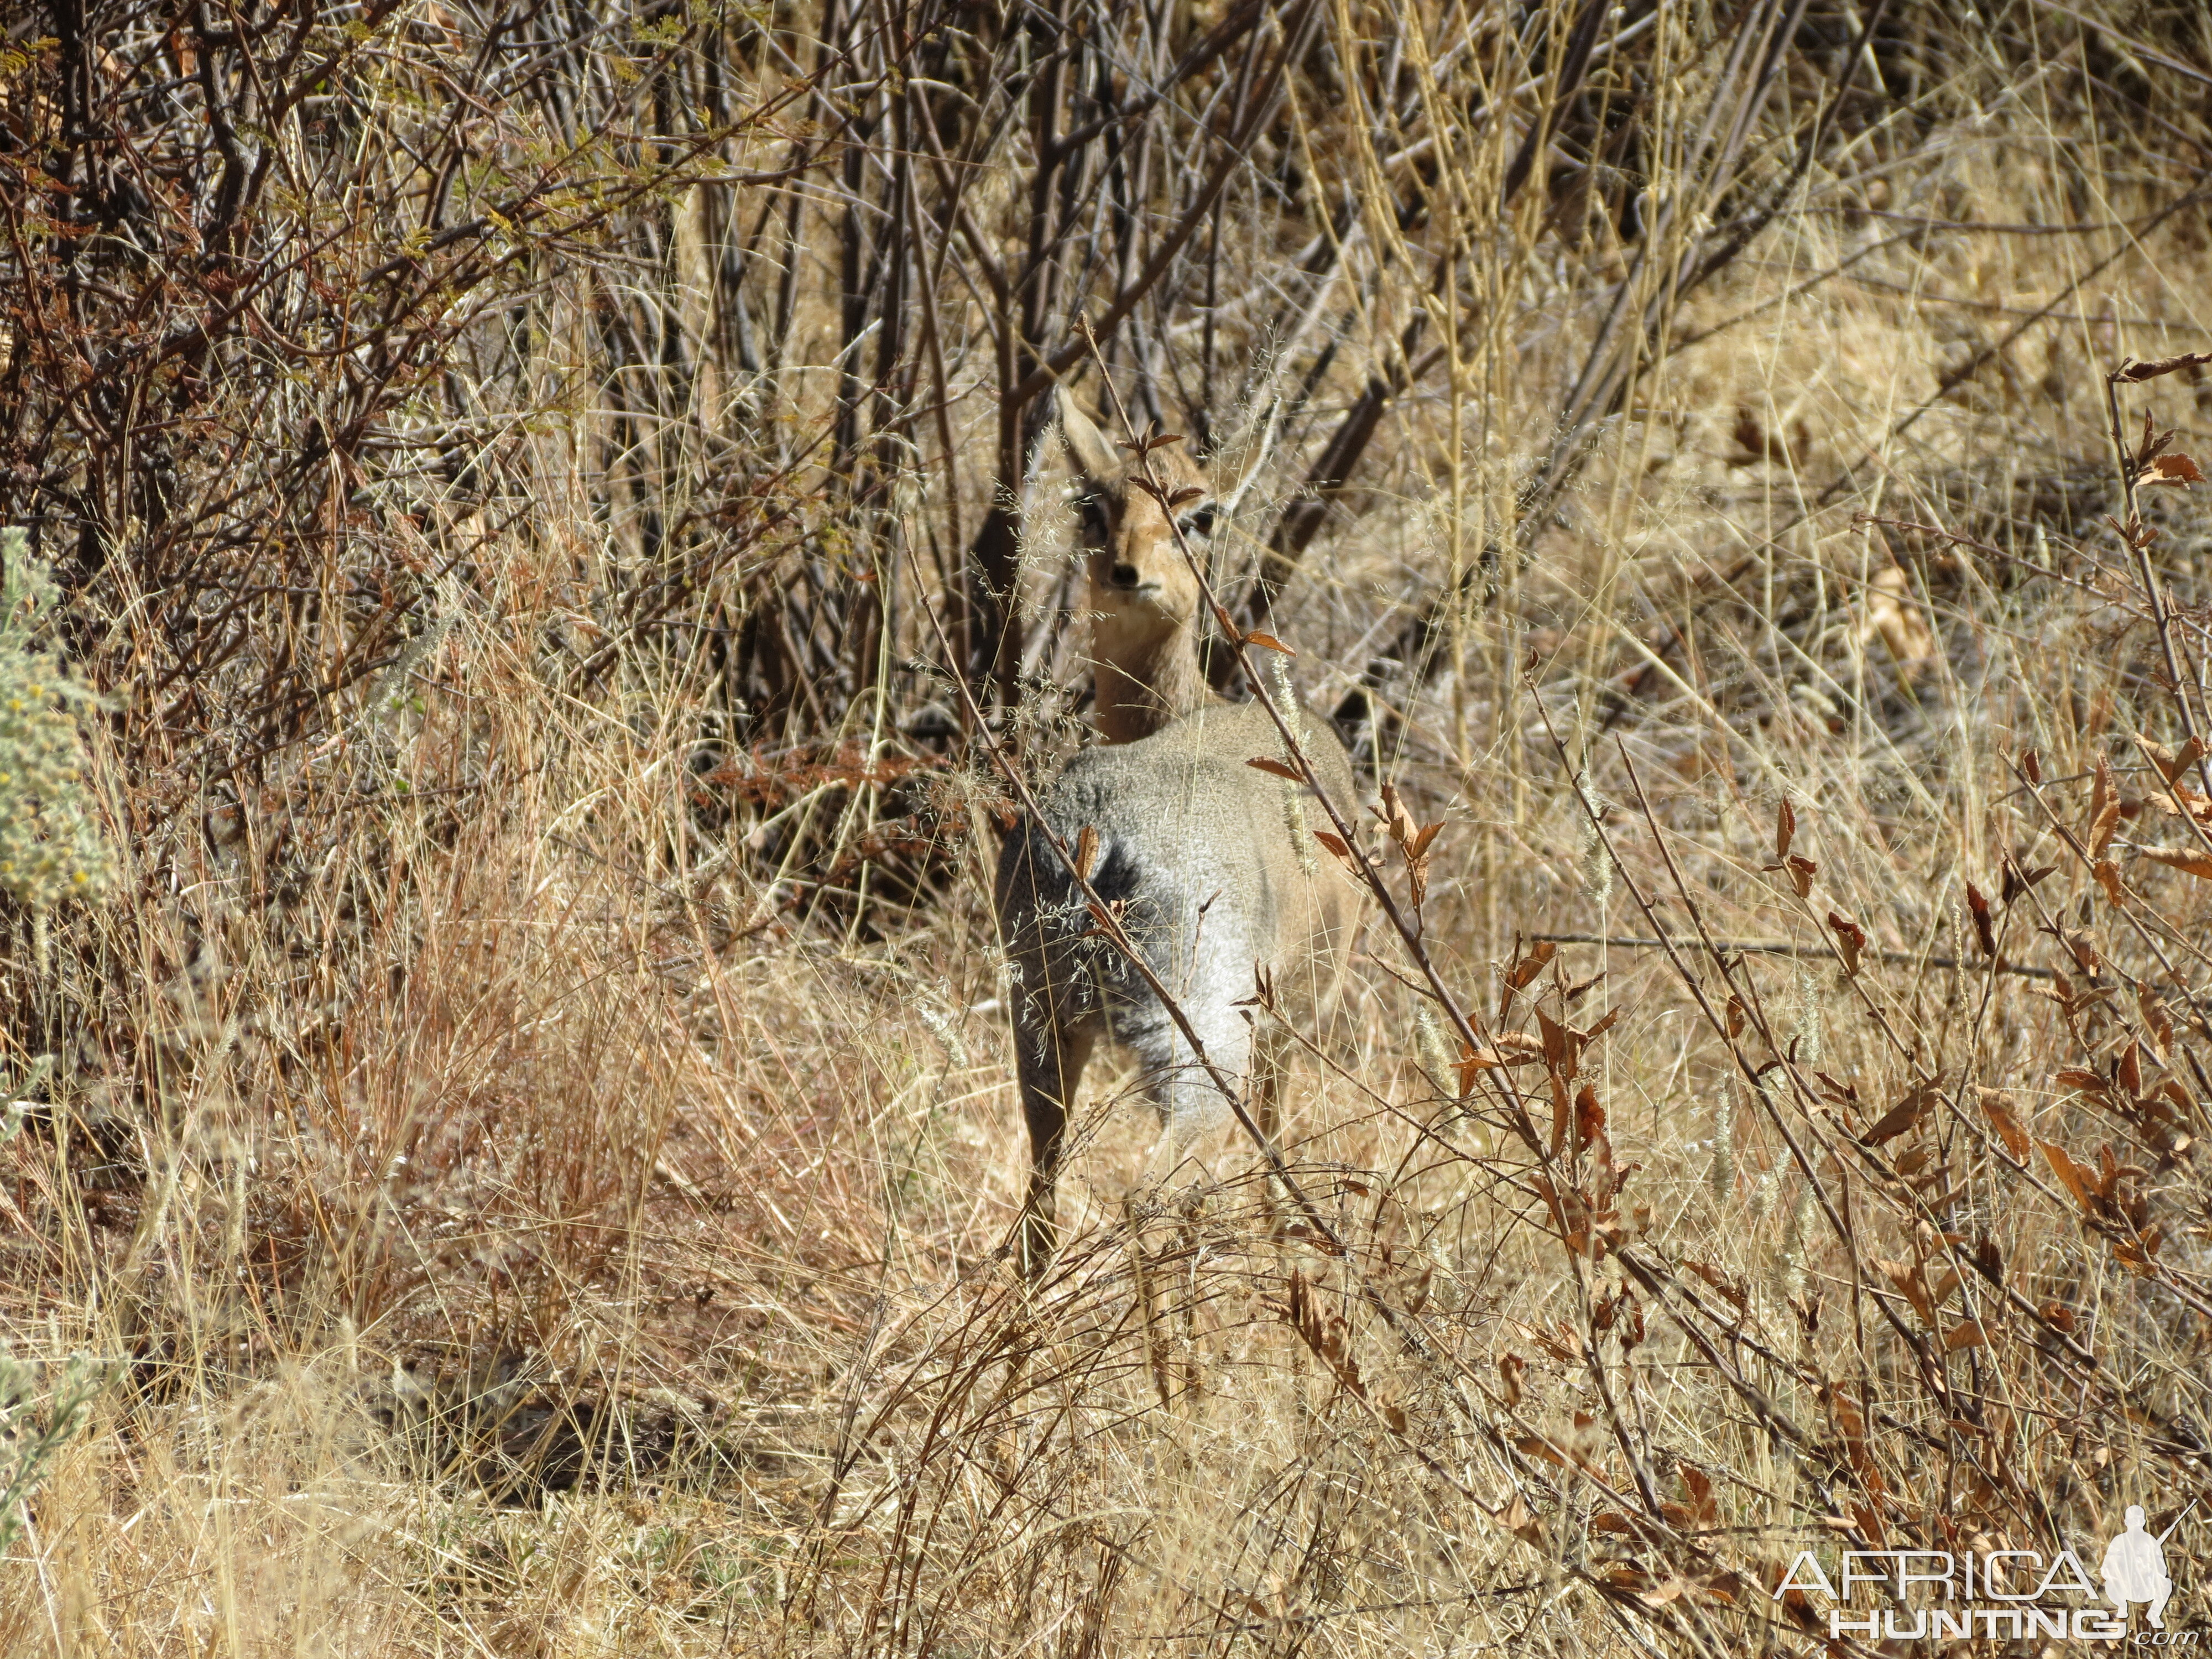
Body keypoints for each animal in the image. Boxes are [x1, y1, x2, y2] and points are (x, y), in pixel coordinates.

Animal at [995, 400, 1354, 1274]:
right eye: (1095, 505)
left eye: (1199, 514)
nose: (1127, 573)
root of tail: (1093, 842)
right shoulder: (1298, 1014)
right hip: (1201, 1036)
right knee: (1147, 1195)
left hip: (1039, 1017)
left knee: (1042, 1204)